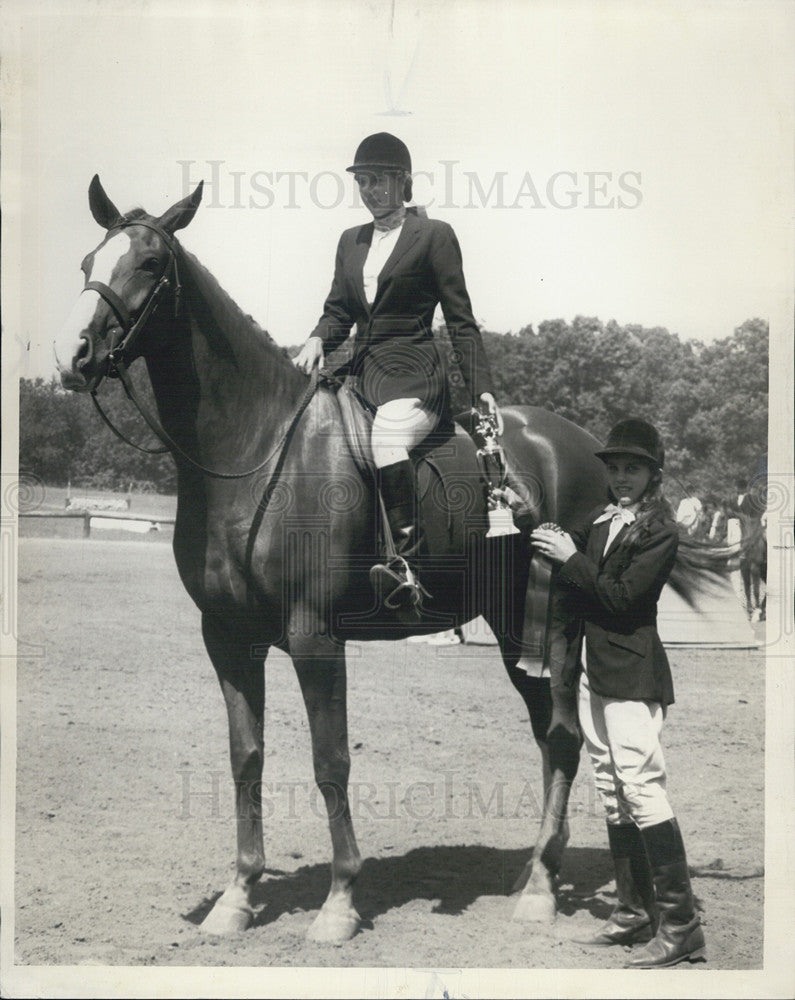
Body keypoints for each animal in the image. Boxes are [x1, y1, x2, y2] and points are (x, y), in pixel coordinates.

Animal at [56, 178, 704, 944]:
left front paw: (339, 902)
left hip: (556, 625)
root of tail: (574, 443)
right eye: (89, 260)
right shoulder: (228, 640)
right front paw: (238, 896)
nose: (73, 356)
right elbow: (246, 759)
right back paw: (534, 873)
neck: (255, 449)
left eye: (152, 262)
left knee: (565, 736)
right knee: (551, 739)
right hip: (512, 629)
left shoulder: (314, 638)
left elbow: (329, 761)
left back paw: (542, 889)